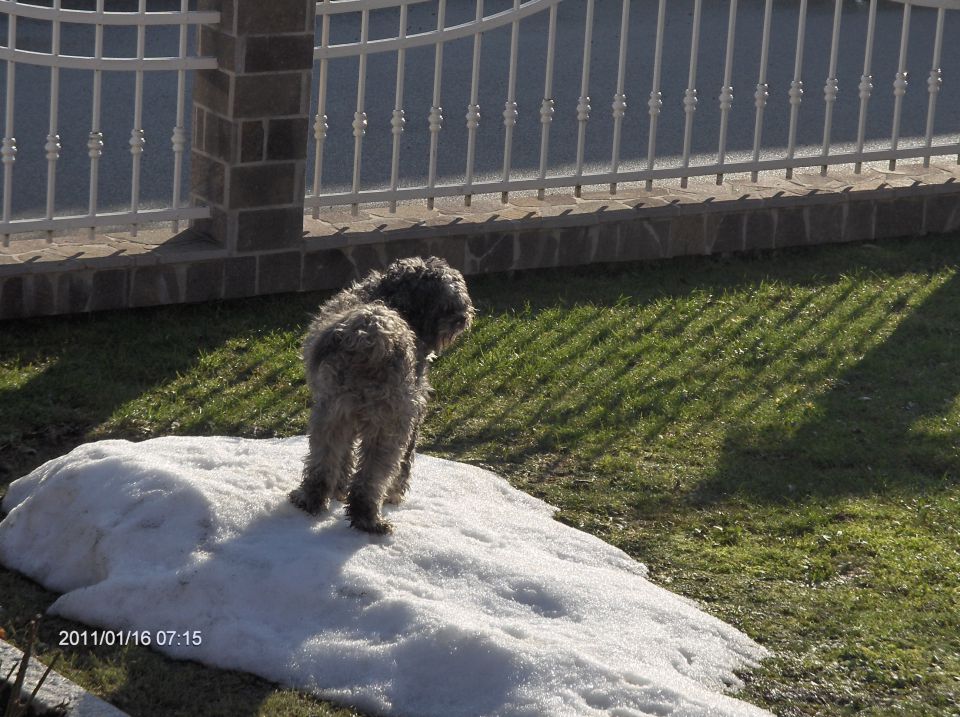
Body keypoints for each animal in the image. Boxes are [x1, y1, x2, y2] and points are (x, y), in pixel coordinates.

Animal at [290, 258, 474, 532]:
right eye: (451, 300)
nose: (464, 316)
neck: (394, 301)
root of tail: (371, 335)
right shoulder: (413, 416)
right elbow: (404, 465)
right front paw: (394, 496)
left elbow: (344, 457)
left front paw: (339, 490)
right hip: (390, 424)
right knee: (374, 476)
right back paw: (368, 517)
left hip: (331, 414)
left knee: (322, 463)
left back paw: (311, 500)